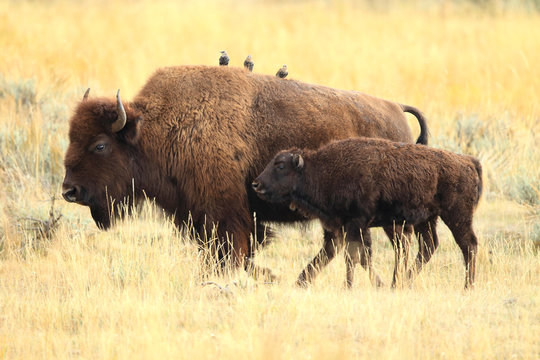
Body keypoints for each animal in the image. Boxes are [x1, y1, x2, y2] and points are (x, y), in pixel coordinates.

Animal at [62, 64, 426, 278]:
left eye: (100, 145)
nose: (69, 190)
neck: (161, 127)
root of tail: (396, 110)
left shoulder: (224, 212)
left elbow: (230, 251)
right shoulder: (197, 214)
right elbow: (221, 251)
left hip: (388, 214)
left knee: (399, 245)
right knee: (338, 244)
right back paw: (300, 282)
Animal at [251, 138, 484, 290]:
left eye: (280, 165)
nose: (256, 184)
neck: (324, 169)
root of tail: (468, 162)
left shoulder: (356, 223)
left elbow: (354, 256)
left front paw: (348, 286)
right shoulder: (347, 226)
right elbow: (361, 256)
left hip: (456, 216)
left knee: (468, 245)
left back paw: (468, 286)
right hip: (427, 220)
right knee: (428, 246)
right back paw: (401, 284)